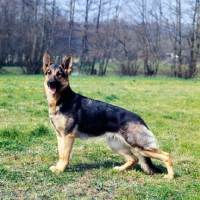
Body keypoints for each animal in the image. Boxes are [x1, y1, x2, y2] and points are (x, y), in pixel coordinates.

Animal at [43, 52, 174, 179]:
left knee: (166, 155)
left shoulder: (68, 136)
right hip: (116, 145)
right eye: (49, 73)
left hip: (139, 146)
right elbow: (61, 154)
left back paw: (170, 176)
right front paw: (59, 167)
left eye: (59, 74)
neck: (61, 101)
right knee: (134, 158)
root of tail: (141, 120)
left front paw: (60, 169)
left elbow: (65, 155)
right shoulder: (60, 135)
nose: (51, 83)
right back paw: (119, 169)